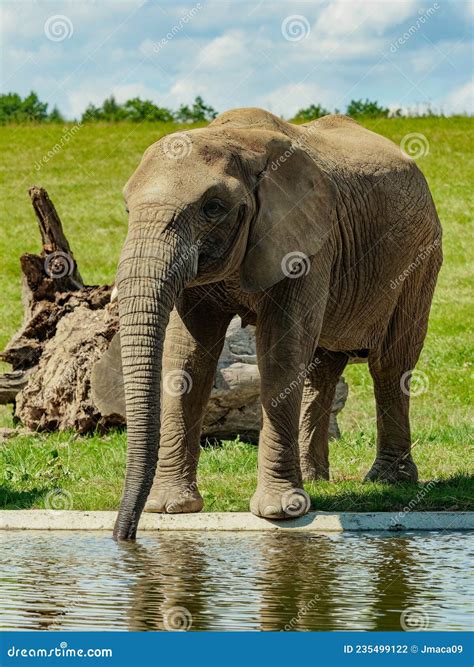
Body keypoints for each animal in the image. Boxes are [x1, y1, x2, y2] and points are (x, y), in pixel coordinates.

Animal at [113, 107, 442, 540]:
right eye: (128, 209)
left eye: (213, 207)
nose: (124, 537)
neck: (236, 141)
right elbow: (188, 355)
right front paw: (170, 508)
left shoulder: (306, 240)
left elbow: (281, 349)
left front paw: (279, 512)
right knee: (322, 369)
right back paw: (317, 479)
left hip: (420, 259)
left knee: (390, 364)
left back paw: (388, 481)